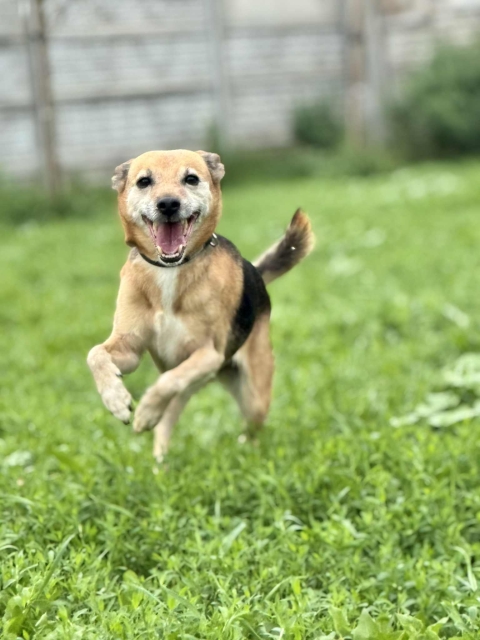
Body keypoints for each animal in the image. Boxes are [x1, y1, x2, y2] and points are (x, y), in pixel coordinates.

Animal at [87, 149, 314, 461]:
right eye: (144, 181)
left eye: (191, 179)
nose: (168, 204)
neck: (170, 270)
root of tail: (254, 272)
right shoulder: (130, 349)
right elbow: (95, 354)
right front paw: (117, 400)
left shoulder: (208, 354)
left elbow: (168, 381)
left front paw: (144, 411)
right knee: (168, 417)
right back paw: (160, 461)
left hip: (252, 392)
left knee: (249, 424)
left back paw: (245, 447)